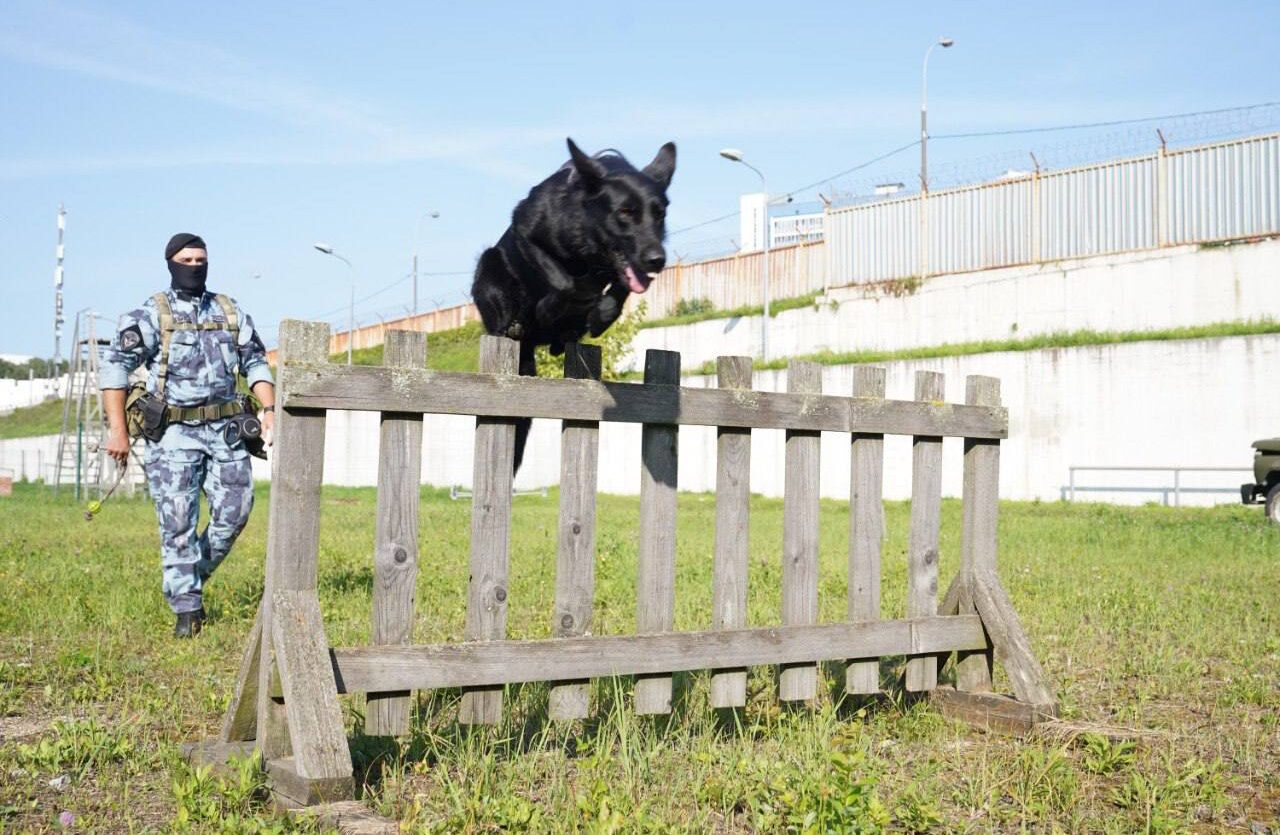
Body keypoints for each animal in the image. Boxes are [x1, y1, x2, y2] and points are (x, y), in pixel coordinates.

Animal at [473, 137, 675, 468]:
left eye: (659, 214)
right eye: (625, 212)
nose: (657, 260)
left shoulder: (621, 269)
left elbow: (617, 289)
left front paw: (601, 315)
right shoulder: (525, 230)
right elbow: (563, 280)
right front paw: (550, 308)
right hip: (489, 266)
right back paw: (519, 326)